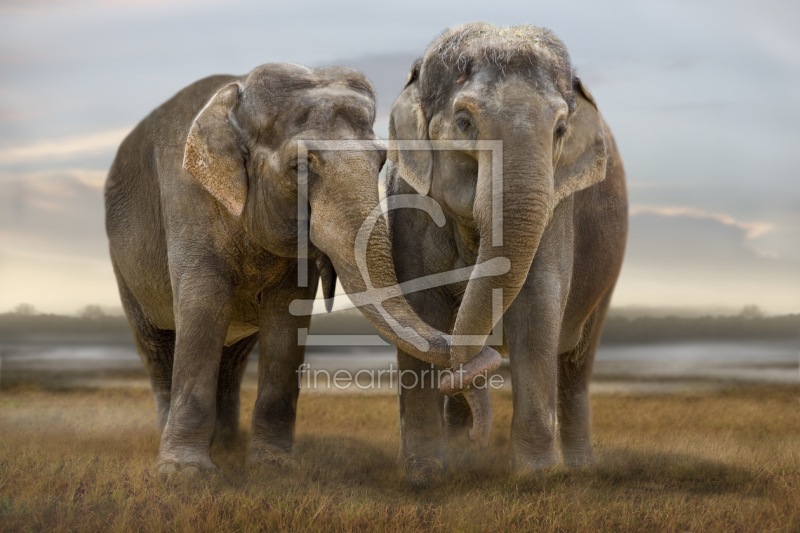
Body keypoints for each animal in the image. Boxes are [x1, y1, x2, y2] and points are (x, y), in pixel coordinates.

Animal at [103, 62, 496, 474]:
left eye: (380, 161)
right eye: (301, 166)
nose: (476, 437)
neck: (237, 98)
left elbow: (287, 318)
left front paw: (274, 467)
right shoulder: (187, 199)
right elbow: (203, 307)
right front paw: (184, 474)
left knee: (233, 357)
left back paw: (227, 446)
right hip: (124, 266)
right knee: (156, 344)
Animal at [384, 23, 628, 482]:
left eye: (560, 130)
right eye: (464, 122)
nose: (479, 437)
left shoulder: (557, 205)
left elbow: (537, 305)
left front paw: (537, 477)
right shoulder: (407, 199)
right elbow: (419, 307)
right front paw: (425, 475)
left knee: (576, 364)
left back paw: (580, 468)